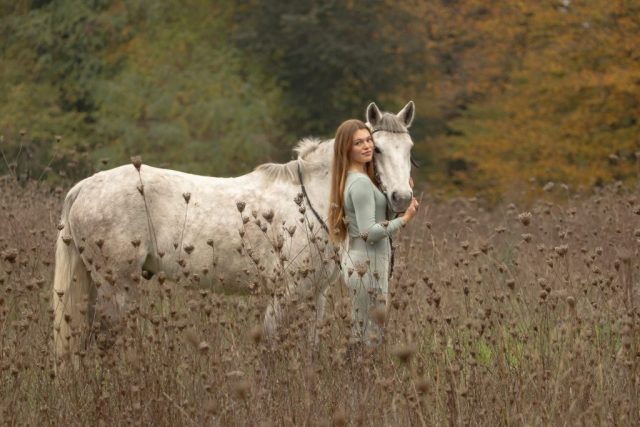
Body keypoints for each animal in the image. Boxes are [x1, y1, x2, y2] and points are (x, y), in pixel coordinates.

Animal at [52, 101, 417, 359]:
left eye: (409, 148)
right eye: (376, 148)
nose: (402, 198)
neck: (309, 201)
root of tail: (84, 187)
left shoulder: (315, 295)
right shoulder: (284, 295)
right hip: (116, 286)